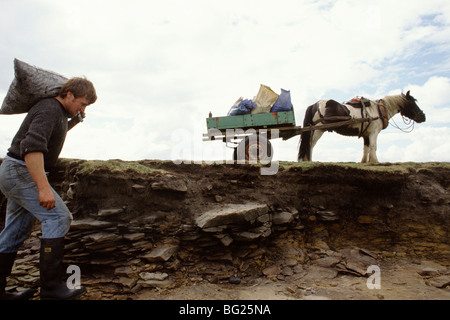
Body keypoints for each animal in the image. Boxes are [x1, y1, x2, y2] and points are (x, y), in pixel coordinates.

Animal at [298, 92, 428, 162]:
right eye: (412, 103)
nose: (423, 117)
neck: (378, 110)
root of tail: (314, 105)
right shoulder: (374, 133)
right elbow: (374, 147)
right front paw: (375, 161)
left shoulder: (366, 134)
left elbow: (366, 148)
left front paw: (366, 161)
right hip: (318, 130)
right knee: (310, 144)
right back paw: (309, 160)